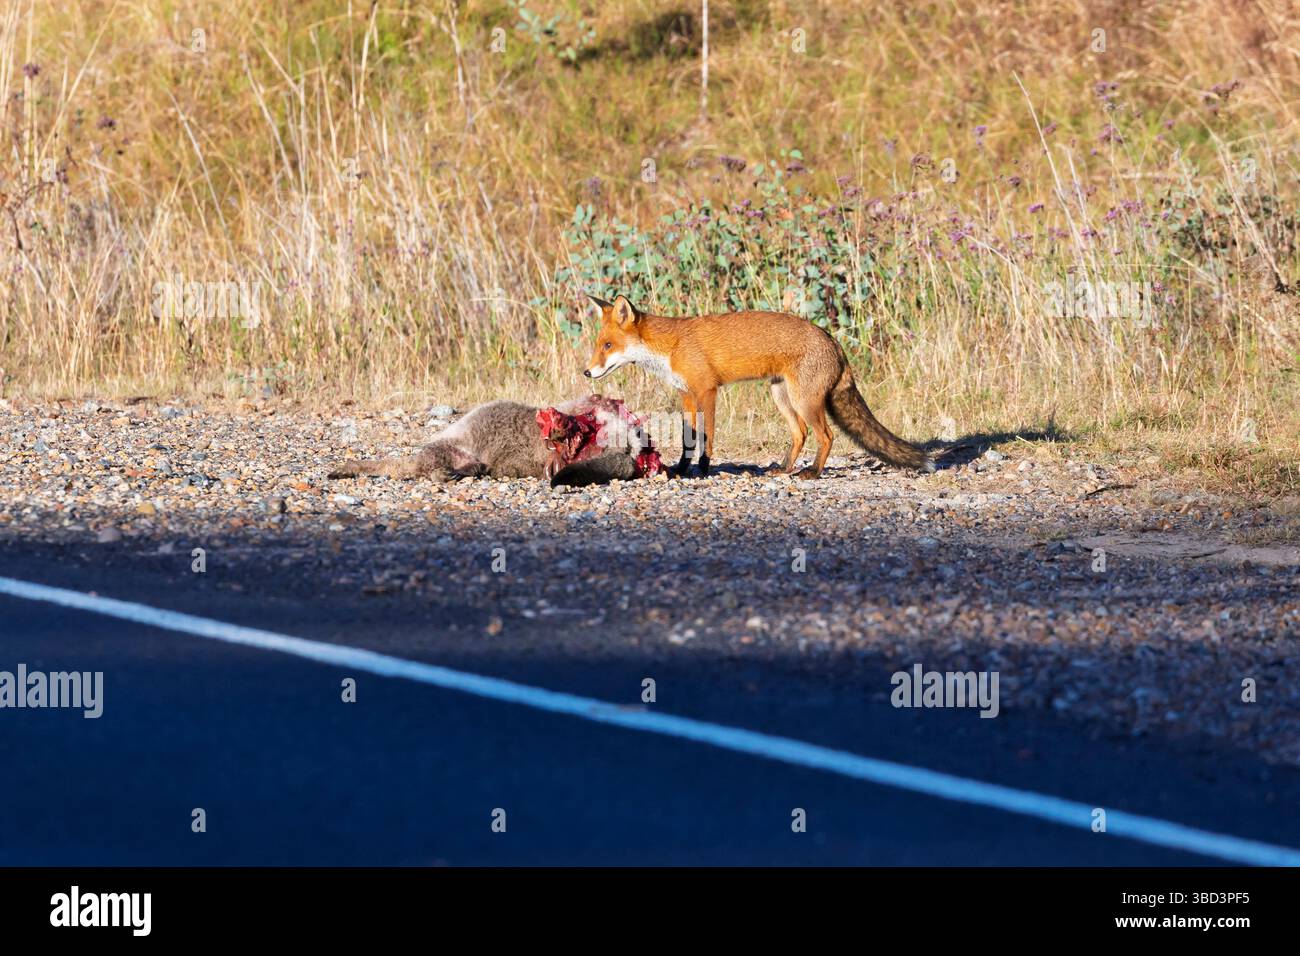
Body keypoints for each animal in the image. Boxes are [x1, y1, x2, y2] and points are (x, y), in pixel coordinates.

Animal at [582, 293, 933, 478]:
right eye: (598, 345)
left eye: (608, 346)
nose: (587, 372)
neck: (671, 347)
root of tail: (832, 340)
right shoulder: (686, 396)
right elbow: (687, 440)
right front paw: (681, 469)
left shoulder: (707, 391)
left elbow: (706, 439)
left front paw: (704, 470)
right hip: (781, 397)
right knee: (800, 434)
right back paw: (783, 469)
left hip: (804, 401)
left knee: (827, 436)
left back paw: (812, 472)